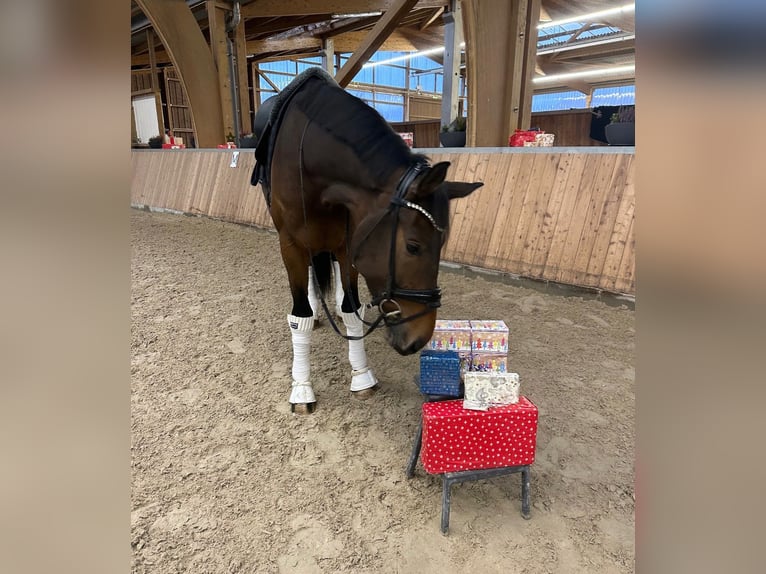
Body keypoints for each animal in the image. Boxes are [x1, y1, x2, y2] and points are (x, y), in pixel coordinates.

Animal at [252, 68, 484, 414]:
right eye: (413, 246)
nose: (419, 338)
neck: (311, 158)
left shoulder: (350, 242)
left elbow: (351, 309)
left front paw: (361, 376)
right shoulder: (291, 243)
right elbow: (299, 317)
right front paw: (302, 388)